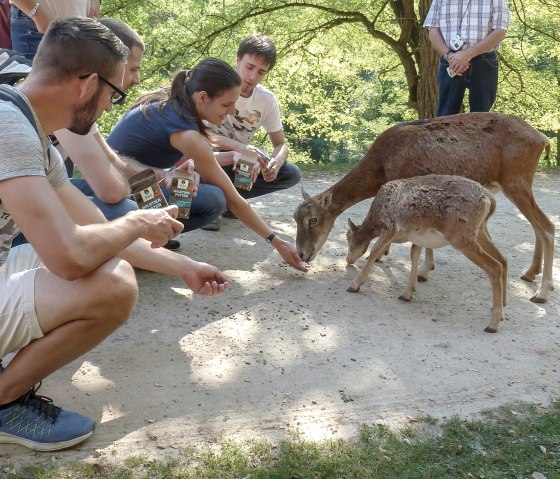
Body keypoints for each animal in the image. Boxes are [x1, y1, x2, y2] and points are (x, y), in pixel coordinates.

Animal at [296, 112, 552, 304]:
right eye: (295, 218)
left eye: (313, 220)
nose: (302, 254)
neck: (382, 166)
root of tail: (542, 139)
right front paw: (421, 269)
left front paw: (417, 270)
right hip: (522, 184)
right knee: (538, 226)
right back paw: (530, 274)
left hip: (516, 182)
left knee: (547, 226)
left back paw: (541, 292)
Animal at [346, 175, 508, 334]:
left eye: (348, 237)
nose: (348, 260)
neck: (375, 220)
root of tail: (490, 200)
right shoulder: (417, 237)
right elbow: (414, 253)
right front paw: (407, 293)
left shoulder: (390, 227)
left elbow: (374, 251)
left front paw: (354, 285)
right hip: (480, 232)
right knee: (503, 260)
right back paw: (502, 308)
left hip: (461, 238)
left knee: (494, 266)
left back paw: (492, 325)